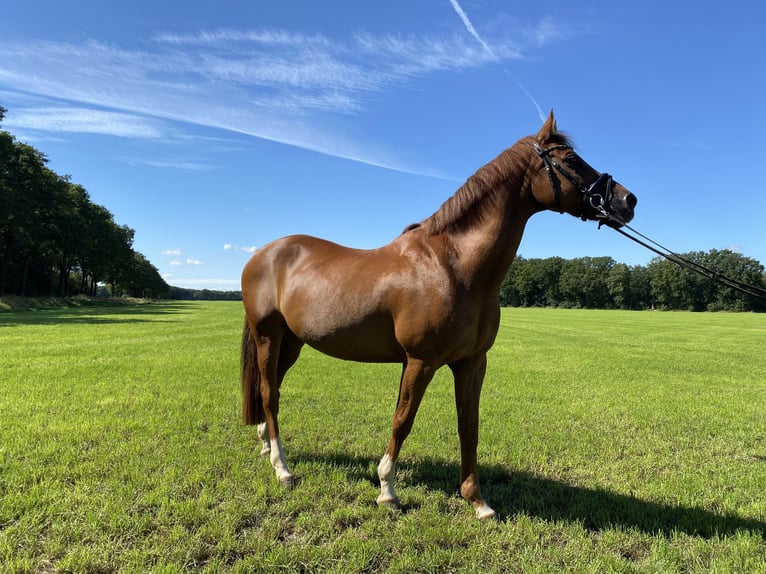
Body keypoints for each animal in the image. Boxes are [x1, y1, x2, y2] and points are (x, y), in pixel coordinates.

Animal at [243, 112, 640, 520]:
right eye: (572, 159)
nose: (628, 200)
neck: (453, 265)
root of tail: (263, 254)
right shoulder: (420, 361)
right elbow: (402, 422)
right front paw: (387, 491)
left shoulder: (472, 362)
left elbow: (469, 427)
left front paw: (477, 501)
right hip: (268, 336)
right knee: (269, 394)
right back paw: (282, 468)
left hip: (292, 343)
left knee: (272, 390)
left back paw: (266, 445)